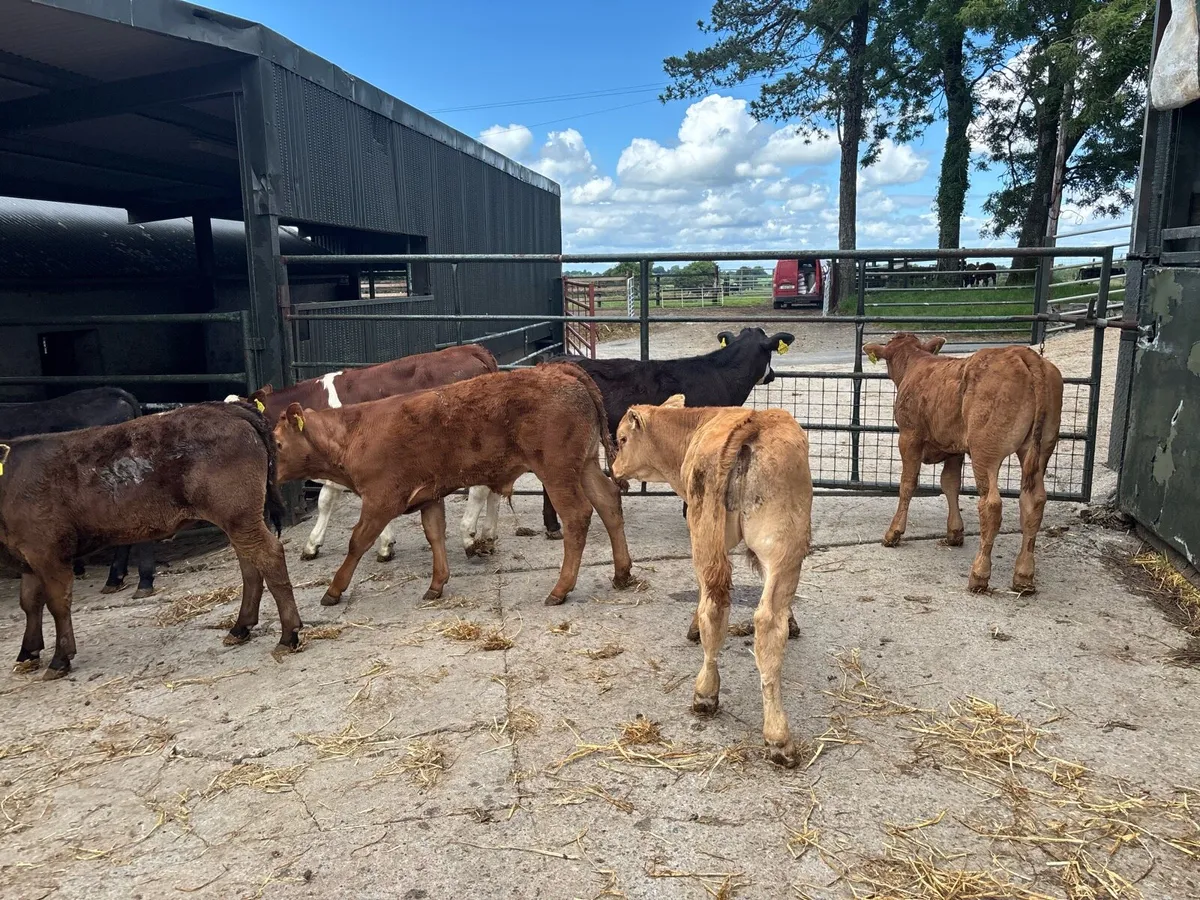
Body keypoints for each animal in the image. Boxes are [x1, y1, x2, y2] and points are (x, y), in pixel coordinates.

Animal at [226, 344, 500, 561]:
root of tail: (471, 349)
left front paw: (384, 545)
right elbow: (326, 501)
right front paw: (312, 545)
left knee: (479, 488)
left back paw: (469, 536)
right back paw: (488, 536)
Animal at [272, 363, 635, 608]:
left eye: (276, 443)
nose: (269, 477)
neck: (353, 432)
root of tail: (559, 369)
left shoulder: (380, 500)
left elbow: (357, 542)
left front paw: (334, 589)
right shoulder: (429, 496)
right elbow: (435, 535)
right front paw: (437, 583)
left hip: (557, 473)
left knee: (577, 516)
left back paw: (561, 589)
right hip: (584, 466)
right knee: (608, 503)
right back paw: (621, 573)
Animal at [611, 396, 812, 768]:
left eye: (622, 439)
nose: (614, 470)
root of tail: (753, 422)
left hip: (704, 532)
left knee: (714, 606)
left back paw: (705, 694)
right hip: (784, 546)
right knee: (768, 621)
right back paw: (778, 736)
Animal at [862, 333, 1064, 594]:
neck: (916, 364)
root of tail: (1023, 354)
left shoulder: (909, 437)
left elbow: (907, 484)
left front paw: (894, 533)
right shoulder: (953, 447)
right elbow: (950, 484)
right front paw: (955, 532)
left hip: (985, 450)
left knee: (991, 505)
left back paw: (979, 575)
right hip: (1041, 448)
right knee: (1034, 501)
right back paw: (1024, 576)